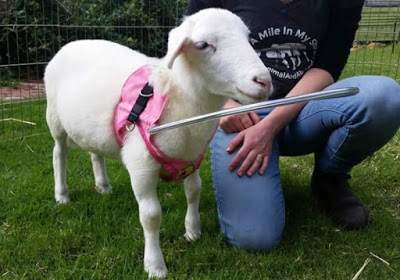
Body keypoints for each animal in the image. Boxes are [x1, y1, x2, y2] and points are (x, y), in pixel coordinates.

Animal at [45, 8, 274, 278]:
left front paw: (193, 231)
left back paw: (102, 185)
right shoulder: (141, 165)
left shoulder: (192, 157)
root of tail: (72, 43)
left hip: (92, 128)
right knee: (59, 153)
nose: (264, 81)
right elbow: (151, 216)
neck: (178, 97)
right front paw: (155, 265)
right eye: (202, 45)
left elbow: (194, 191)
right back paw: (62, 194)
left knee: (95, 152)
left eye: (248, 37)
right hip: (54, 117)